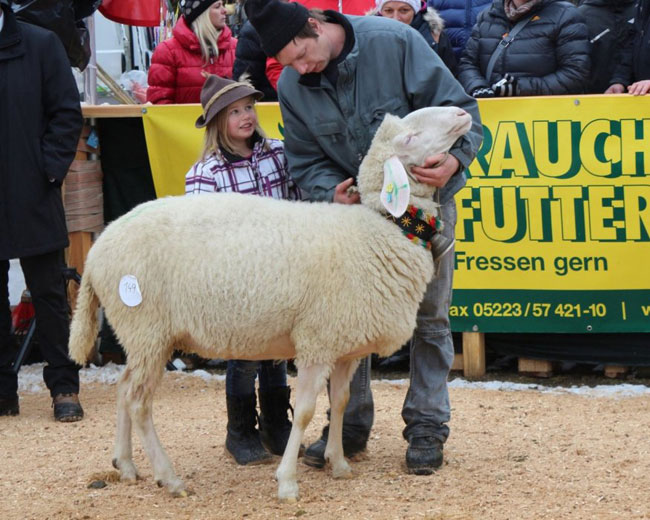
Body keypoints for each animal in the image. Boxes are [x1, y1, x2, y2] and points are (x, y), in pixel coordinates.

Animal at [68, 104, 470, 500]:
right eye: (409, 138)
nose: (462, 113)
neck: (383, 229)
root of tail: (98, 249)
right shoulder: (317, 341)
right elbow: (306, 411)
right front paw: (287, 482)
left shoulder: (345, 346)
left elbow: (339, 402)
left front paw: (339, 464)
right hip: (147, 328)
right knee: (139, 403)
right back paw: (169, 478)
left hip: (142, 337)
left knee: (123, 389)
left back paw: (125, 465)